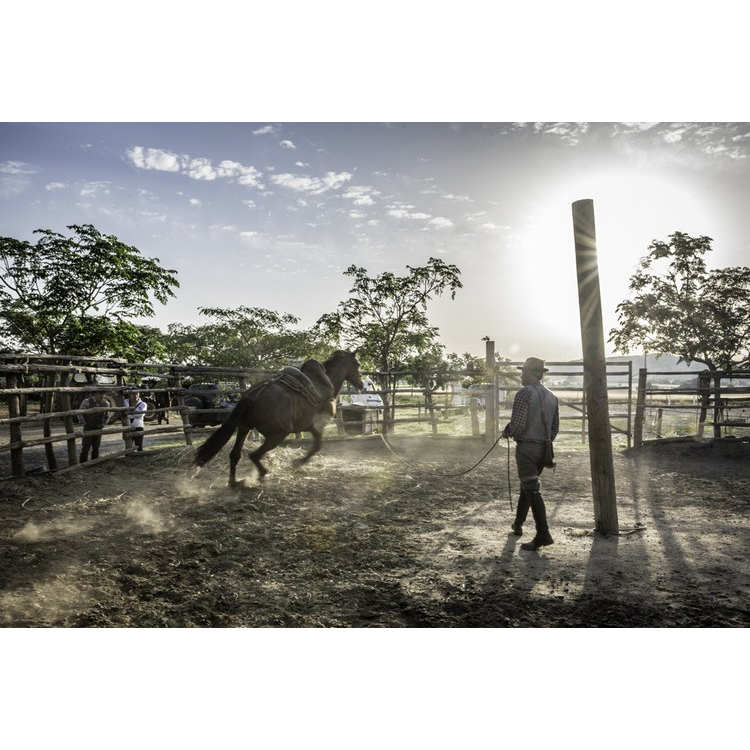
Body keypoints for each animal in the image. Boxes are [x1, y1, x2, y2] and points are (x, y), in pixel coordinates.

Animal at [191, 352, 362, 488]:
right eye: (357, 364)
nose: (361, 383)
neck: (325, 382)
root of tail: (255, 394)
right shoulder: (316, 426)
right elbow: (317, 446)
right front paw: (298, 462)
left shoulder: (310, 427)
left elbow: (316, 445)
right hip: (277, 435)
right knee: (254, 455)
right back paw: (261, 474)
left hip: (244, 428)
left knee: (235, 455)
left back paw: (234, 482)